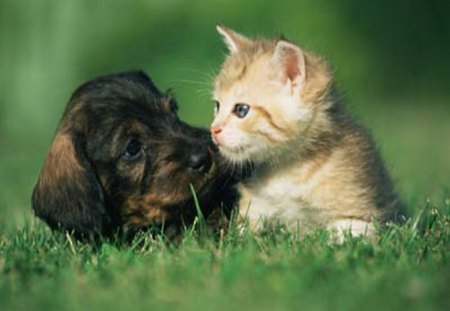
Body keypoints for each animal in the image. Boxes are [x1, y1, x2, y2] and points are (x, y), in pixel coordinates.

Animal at [209, 26, 406, 239]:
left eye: (241, 110)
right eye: (217, 106)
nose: (213, 129)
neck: (287, 170)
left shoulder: (358, 214)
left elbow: (345, 236)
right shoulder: (254, 209)